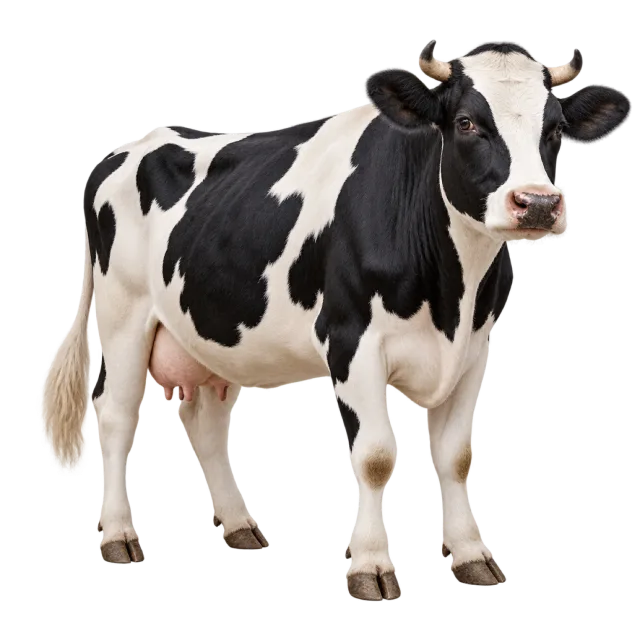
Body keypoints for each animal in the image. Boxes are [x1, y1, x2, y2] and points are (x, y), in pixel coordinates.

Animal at [39, 41, 630, 596]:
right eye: (466, 123)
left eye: (555, 129)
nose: (538, 204)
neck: (449, 296)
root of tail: (131, 144)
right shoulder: (352, 343)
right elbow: (375, 457)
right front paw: (370, 567)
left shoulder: (473, 352)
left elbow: (458, 456)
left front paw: (470, 556)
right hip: (123, 318)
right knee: (115, 417)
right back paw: (118, 536)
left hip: (211, 335)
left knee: (206, 424)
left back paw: (239, 526)